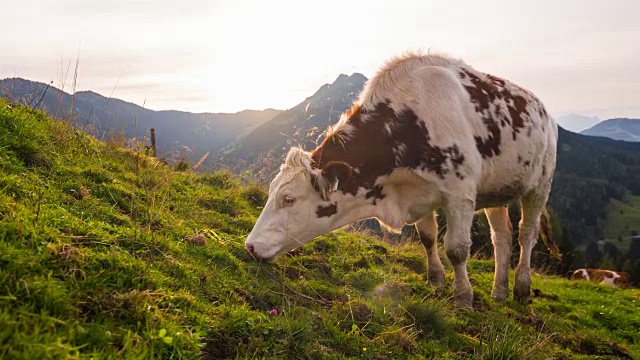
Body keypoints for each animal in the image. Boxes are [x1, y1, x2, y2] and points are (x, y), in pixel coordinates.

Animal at [245, 51, 560, 310]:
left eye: (289, 199)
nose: (250, 246)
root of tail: (544, 110)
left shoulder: (460, 193)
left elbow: (457, 249)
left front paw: (463, 297)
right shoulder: (420, 192)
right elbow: (428, 237)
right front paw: (436, 279)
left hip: (540, 185)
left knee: (526, 234)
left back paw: (521, 287)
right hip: (497, 192)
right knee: (502, 236)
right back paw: (499, 291)